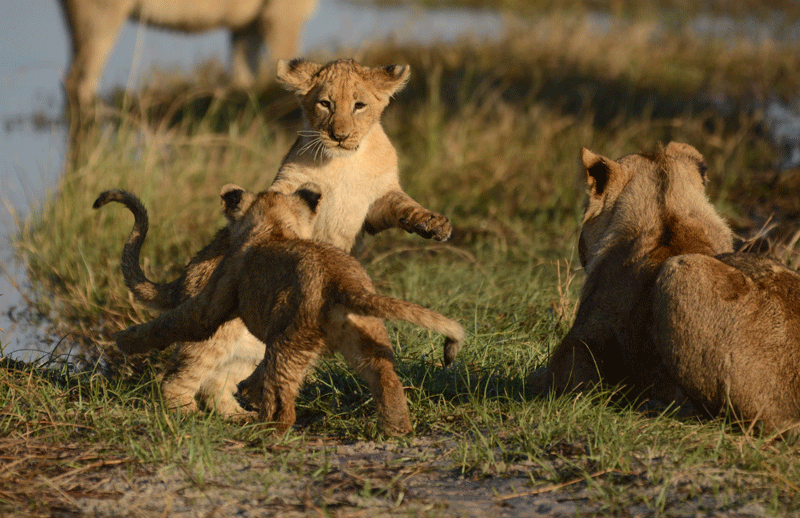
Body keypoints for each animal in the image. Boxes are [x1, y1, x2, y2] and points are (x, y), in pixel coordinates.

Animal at [95, 58, 453, 416]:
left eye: (359, 106)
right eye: (325, 104)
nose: (339, 136)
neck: (346, 162)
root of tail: (183, 278)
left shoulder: (378, 202)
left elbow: (404, 206)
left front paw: (434, 224)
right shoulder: (287, 187)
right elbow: (269, 206)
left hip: (252, 339)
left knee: (219, 381)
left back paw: (240, 414)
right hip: (214, 329)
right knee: (183, 372)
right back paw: (190, 414)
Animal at [113, 184, 464, 435]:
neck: (276, 227)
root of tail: (341, 282)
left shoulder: (212, 301)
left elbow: (171, 322)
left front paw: (125, 340)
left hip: (277, 337)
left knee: (195, 379)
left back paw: (226, 422)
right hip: (361, 337)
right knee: (386, 380)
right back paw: (398, 431)